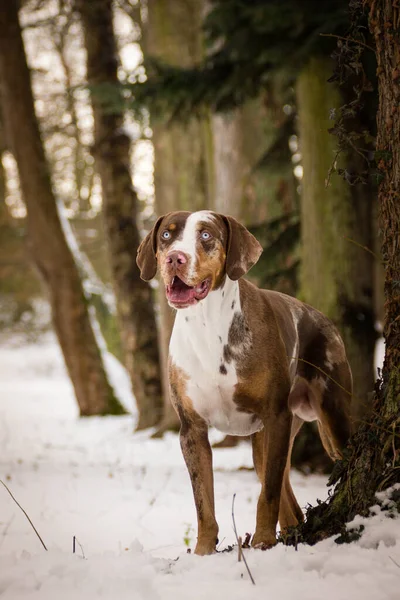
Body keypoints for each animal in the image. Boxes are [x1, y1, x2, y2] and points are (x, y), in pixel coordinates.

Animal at [136, 212, 352, 556]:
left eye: (206, 235)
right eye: (167, 235)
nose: (175, 258)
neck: (208, 325)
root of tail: (323, 318)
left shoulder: (276, 416)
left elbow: (268, 495)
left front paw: (262, 540)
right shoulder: (191, 430)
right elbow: (203, 503)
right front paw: (203, 552)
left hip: (330, 418)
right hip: (267, 442)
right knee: (288, 501)